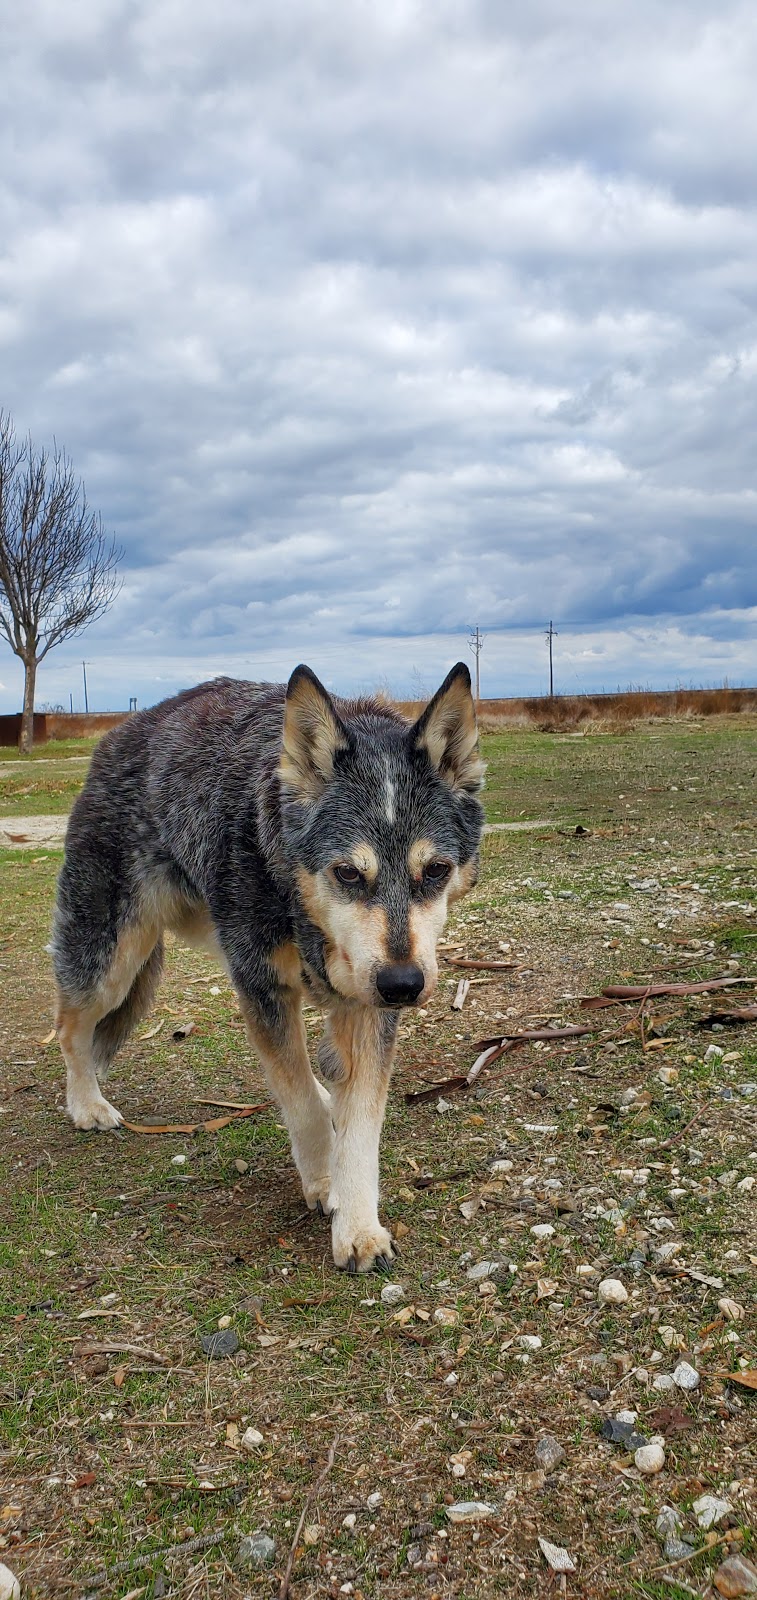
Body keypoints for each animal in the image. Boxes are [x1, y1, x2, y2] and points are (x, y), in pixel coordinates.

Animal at [56, 656, 486, 1267]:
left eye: (436, 871)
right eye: (347, 873)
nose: (404, 986)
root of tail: (119, 734)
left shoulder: (366, 1005)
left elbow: (360, 1124)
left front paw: (358, 1226)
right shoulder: (262, 986)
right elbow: (300, 1101)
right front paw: (325, 1182)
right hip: (114, 959)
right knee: (70, 1027)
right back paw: (87, 1104)